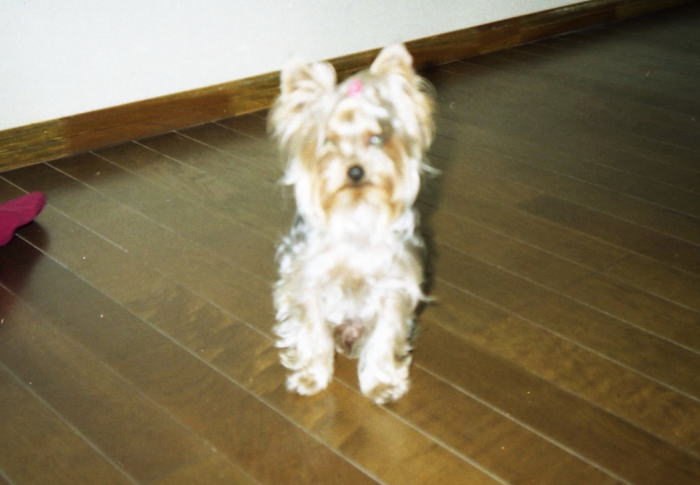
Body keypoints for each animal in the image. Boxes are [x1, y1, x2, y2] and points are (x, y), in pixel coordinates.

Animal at [268, 44, 435, 404]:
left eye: (376, 138)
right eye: (328, 141)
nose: (355, 171)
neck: (356, 213)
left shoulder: (393, 285)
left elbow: (385, 335)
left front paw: (381, 383)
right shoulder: (308, 280)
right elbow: (312, 331)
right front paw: (312, 377)